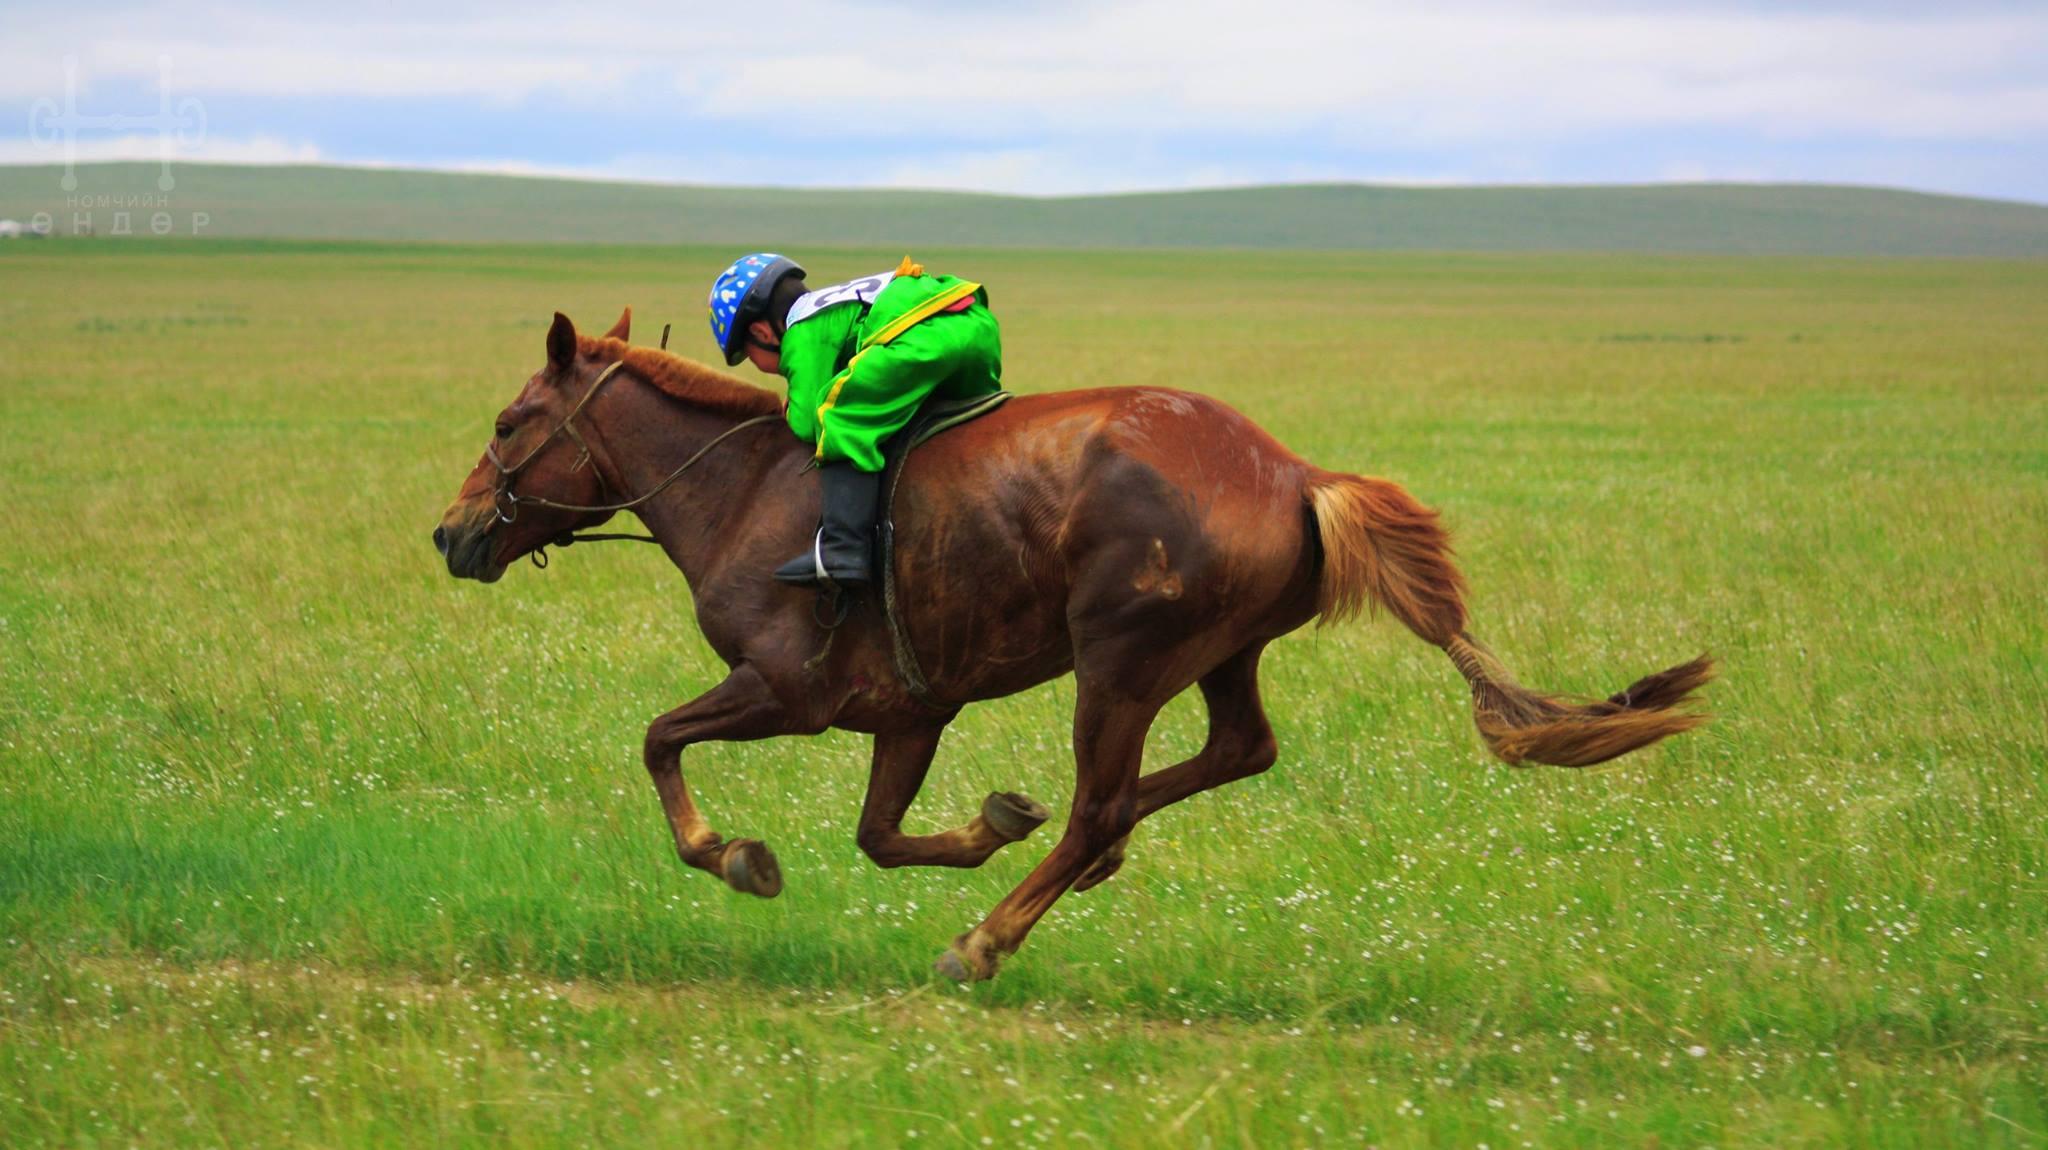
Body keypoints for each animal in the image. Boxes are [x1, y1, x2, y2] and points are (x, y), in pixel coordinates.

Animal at [436, 306, 1712, 974]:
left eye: (506, 420)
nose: (451, 533)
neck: (747, 487)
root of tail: (1295, 471)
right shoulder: (909, 710)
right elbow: (880, 835)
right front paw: (991, 820)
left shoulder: (782, 690)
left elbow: (660, 742)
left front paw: (735, 854)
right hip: (1216, 654)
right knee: (1237, 750)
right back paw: (1077, 860)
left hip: (1120, 665)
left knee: (1107, 796)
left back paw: (988, 937)